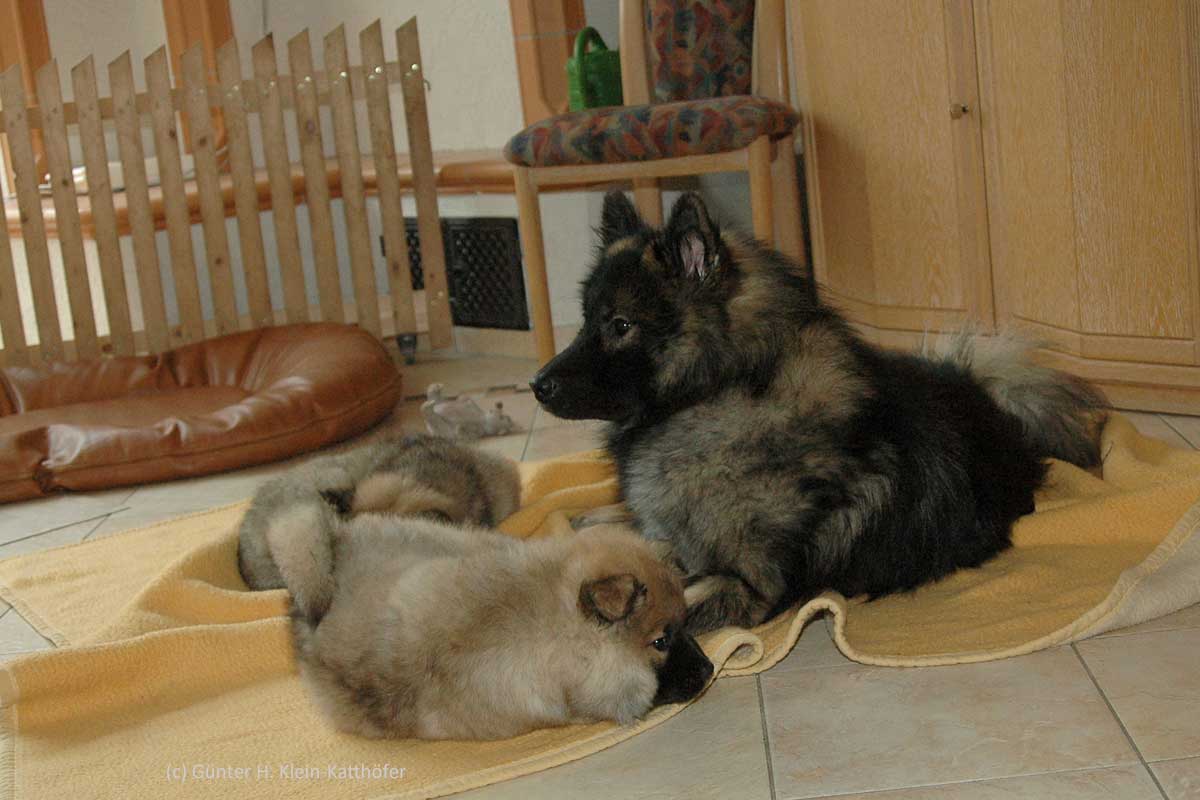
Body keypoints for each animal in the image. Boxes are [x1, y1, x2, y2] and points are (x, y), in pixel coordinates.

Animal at [531, 190, 1106, 634]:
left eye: (621, 325)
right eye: (586, 320)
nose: (537, 385)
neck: (719, 391)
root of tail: (988, 396)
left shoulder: (748, 584)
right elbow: (610, 527)